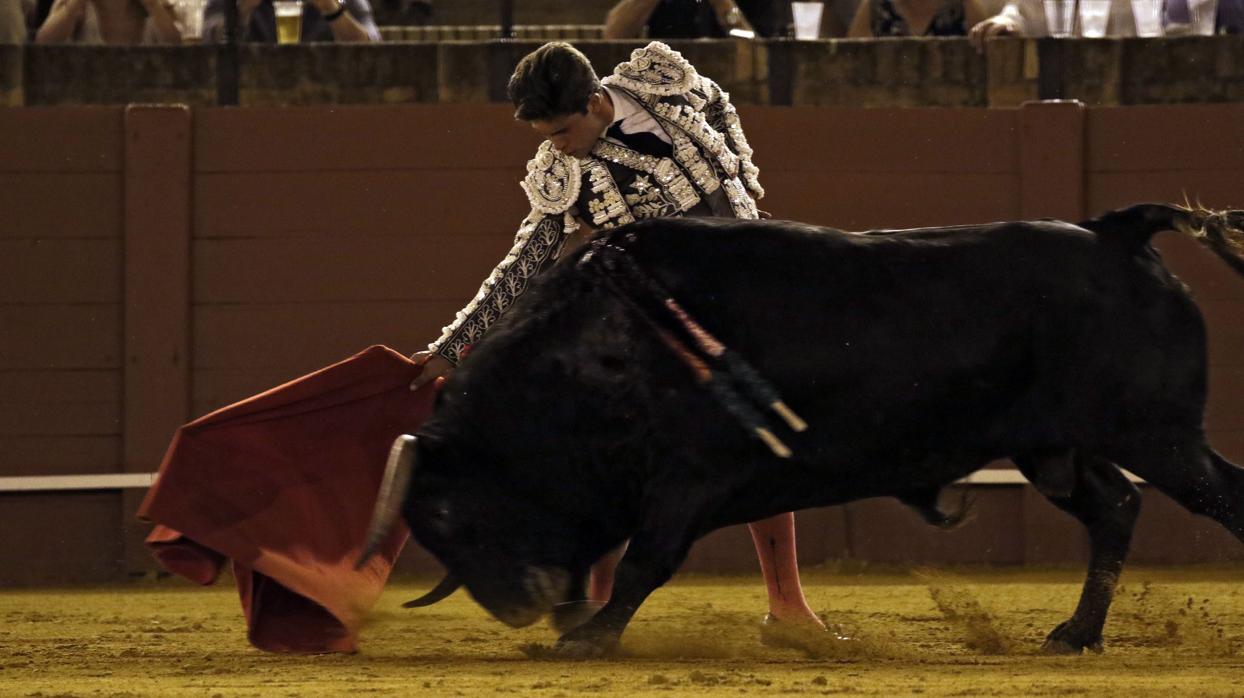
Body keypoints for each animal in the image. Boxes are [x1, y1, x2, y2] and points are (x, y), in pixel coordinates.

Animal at [355, 200, 1244, 651]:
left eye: (445, 512)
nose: (516, 607)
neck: (596, 353)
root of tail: (1111, 231)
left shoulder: (691, 477)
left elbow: (645, 560)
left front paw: (591, 637)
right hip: (1055, 447)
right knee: (1116, 508)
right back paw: (1075, 633)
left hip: (1155, 435)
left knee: (1219, 495)